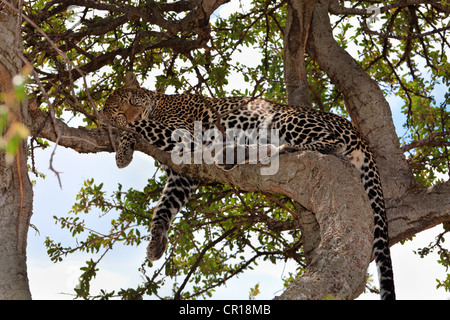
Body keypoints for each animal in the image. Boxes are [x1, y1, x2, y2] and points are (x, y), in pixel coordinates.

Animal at [100, 72, 396, 300]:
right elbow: (164, 207)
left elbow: (141, 126)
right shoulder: (182, 175)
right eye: (118, 111)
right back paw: (235, 154)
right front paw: (155, 242)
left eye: (130, 101)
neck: (160, 102)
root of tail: (357, 132)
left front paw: (123, 149)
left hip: (283, 119)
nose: (128, 116)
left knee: (331, 142)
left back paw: (277, 149)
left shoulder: (185, 135)